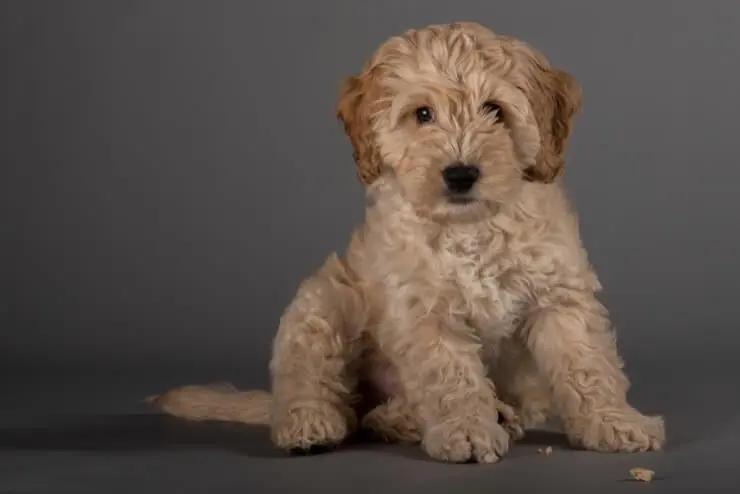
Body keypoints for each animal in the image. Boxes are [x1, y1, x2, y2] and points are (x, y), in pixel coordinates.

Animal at [150, 22, 664, 464]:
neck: (469, 226)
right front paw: (466, 430)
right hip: (326, 299)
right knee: (318, 382)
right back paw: (312, 422)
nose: (461, 174)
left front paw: (615, 422)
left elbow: (588, 365)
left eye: (494, 110)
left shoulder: (559, 296)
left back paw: (483, 416)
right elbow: (450, 376)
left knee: (371, 415)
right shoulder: (423, 310)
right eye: (423, 115)